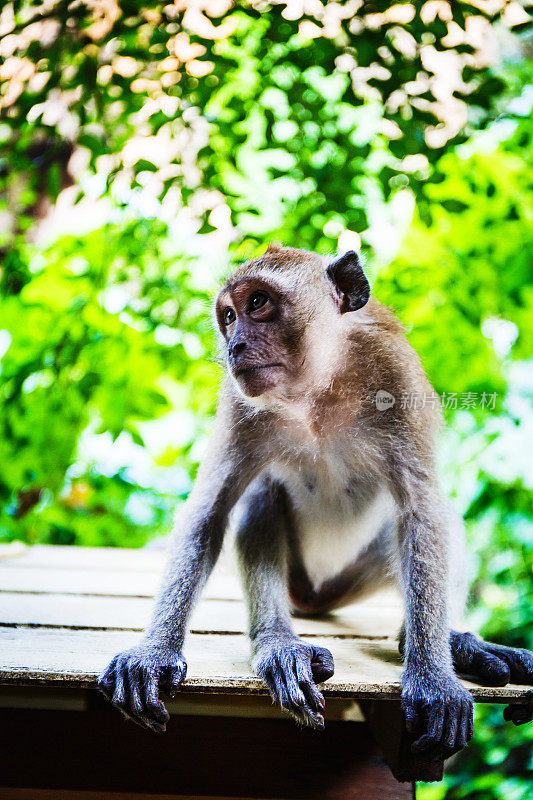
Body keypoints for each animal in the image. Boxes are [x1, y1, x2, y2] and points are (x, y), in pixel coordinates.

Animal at [100, 245, 532, 764]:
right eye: (229, 316)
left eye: (258, 303)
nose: (234, 347)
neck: (317, 391)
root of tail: (318, 595)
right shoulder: (240, 403)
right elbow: (209, 513)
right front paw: (154, 653)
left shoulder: (398, 377)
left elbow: (421, 513)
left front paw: (433, 680)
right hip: (301, 583)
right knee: (260, 495)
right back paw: (279, 646)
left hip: (355, 577)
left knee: (438, 516)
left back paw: (450, 641)